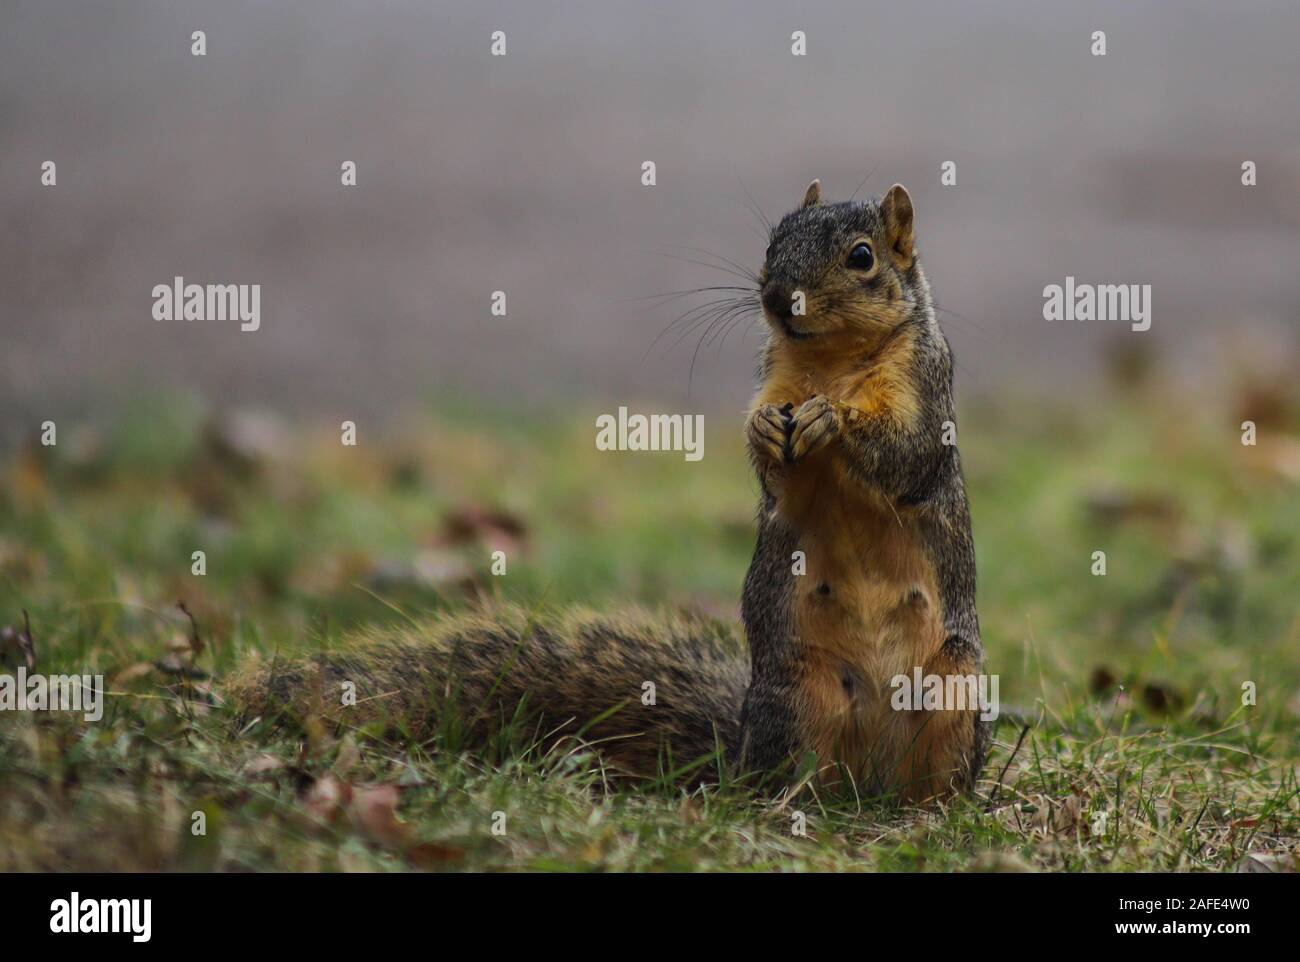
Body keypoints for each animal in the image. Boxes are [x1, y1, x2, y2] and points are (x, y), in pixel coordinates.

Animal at [225, 181, 986, 803]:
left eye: (862, 257)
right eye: (773, 239)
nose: (776, 298)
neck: (830, 362)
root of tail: (868, 782)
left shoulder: (926, 392)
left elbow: (907, 455)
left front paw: (834, 420)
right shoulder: (775, 382)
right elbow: (774, 474)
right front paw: (767, 430)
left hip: (954, 693)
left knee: (935, 780)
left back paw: (932, 809)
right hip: (796, 699)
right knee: (791, 778)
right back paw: (789, 803)